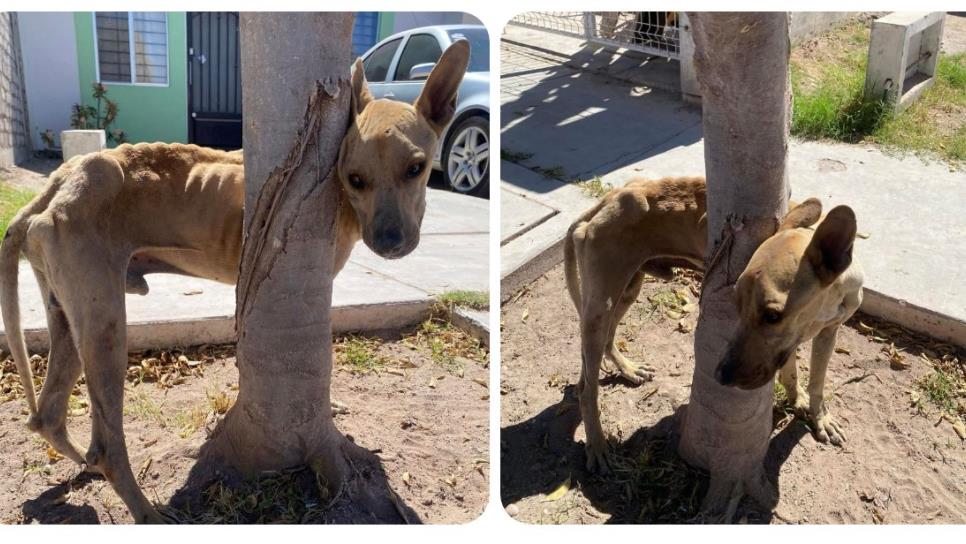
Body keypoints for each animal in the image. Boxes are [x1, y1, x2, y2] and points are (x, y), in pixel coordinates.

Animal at [0, 40, 468, 520]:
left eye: (416, 168)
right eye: (355, 179)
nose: (390, 243)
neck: (342, 201)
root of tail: (59, 181)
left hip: (67, 318)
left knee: (47, 417)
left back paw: (84, 466)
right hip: (105, 327)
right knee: (106, 445)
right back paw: (147, 512)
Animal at [564, 177, 864, 472]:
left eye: (772, 316)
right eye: (736, 304)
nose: (722, 376)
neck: (829, 299)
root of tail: (609, 198)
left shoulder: (822, 334)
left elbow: (813, 381)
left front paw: (813, 412)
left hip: (627, 290)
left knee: (604, 347)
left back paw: (627, 369)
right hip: (601, 306)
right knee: (587, 388)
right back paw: (597, 445)